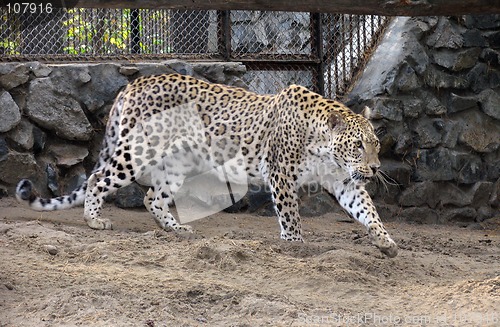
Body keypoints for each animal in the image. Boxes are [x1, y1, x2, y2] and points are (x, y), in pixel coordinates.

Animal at [15, 72, 398, 258]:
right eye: (358, 145)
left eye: (376, 144)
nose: (375, 168)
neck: (323, 145)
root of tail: (133, 83)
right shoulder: (281, 174)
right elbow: (290, 213)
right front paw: (295, 243)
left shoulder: (345, 181)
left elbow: (367, 210)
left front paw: (385, 241)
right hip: (136, 152)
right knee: (97, 179)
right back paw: (94, 221)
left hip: (175, 165)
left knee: (151, 197)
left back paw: (176, 229)